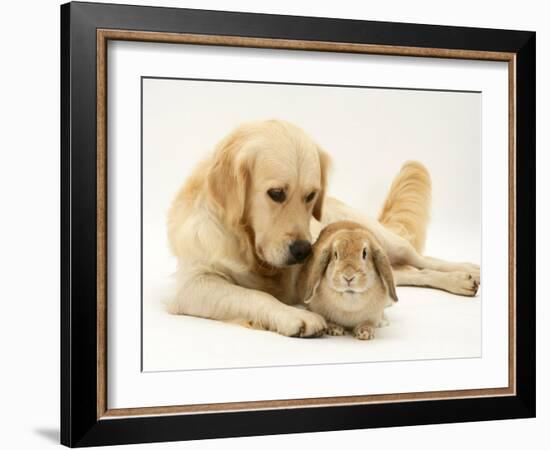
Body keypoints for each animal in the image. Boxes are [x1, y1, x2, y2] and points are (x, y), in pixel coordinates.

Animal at [168, 119, 484, 338]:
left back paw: (466, 271)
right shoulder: (192, 284)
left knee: (421, 259)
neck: (247, 245)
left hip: (383, 240)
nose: (303, 251)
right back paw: (461, 280)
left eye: (310, 195)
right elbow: (254, 294)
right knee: (409, 273)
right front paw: (293, 316)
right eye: (276, 193)